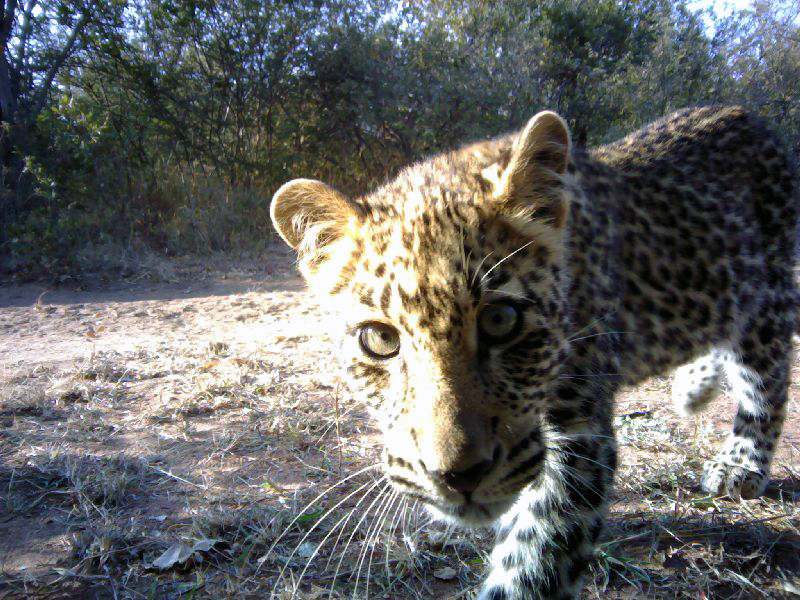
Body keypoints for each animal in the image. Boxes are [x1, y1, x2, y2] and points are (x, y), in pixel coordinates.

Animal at [269, 106, 798, 599]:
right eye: (379, 340)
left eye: (502, 320)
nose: (459, 477)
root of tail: (748, 115)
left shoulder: (580, 438)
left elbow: (534, 561)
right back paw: (693, 388)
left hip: (766, 301)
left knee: (765, 383)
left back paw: (740, 465)